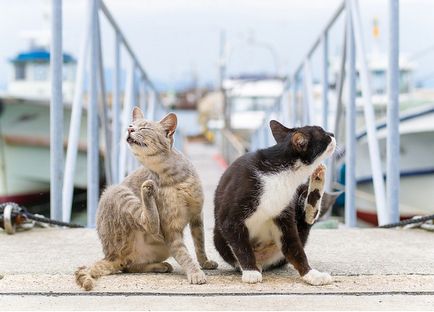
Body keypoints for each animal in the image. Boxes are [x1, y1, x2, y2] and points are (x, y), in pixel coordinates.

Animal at [214, 120, 336, 286]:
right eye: (323, 133)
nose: (333, 134)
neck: (284, 173)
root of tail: (262, 259)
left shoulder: (284, 211)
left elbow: (295, 248)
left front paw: (310, 274)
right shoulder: (232, 213)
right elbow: (239, 241)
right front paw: (250, 271)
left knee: (305, 222)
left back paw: (318, 178)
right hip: (219, 238)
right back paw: (250, 266)